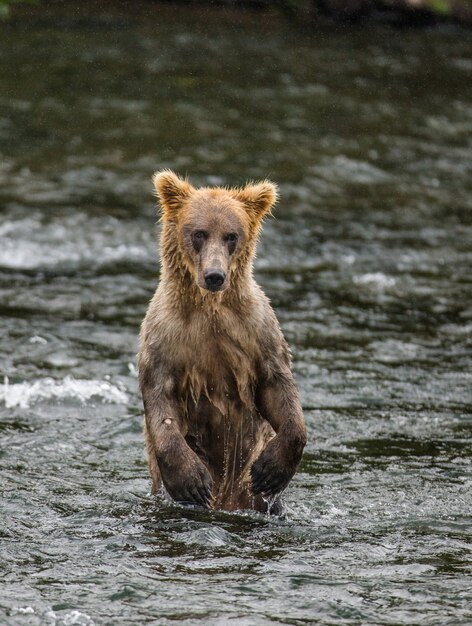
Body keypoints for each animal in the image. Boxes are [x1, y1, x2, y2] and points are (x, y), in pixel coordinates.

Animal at [137, 171, 306, 512]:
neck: (210, 309)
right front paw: (191, 481)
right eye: (199, 233)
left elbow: (278, 386)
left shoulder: (255, 331)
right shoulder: (165, 337)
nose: (215, 275)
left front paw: (271, 470)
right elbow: (160, 400)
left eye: (231, 235)